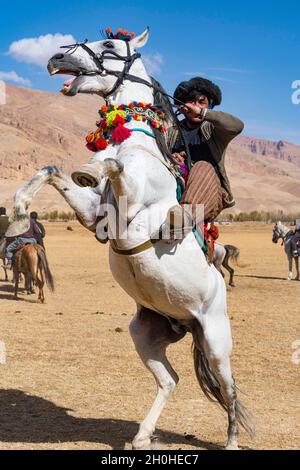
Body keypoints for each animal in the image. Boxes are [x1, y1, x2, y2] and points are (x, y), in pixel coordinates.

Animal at [7, 26, 253, 448]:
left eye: (108, 44)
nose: (55, 59)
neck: (134, 140)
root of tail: (186, 322)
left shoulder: (131, 212)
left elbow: (110, 164)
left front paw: (92, 166)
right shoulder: (93, 215)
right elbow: (52, 170)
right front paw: (19, 215)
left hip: (216, 340)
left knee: (230, 388)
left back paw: (232, 441)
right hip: (145, 334)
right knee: (171, 380)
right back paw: (141, 436)